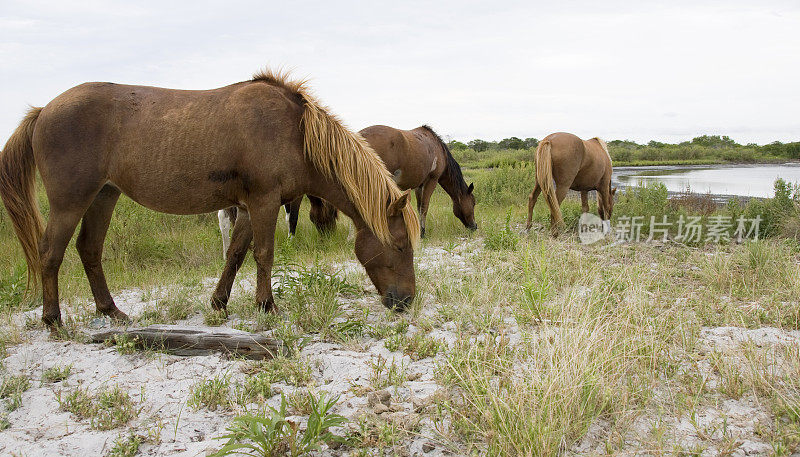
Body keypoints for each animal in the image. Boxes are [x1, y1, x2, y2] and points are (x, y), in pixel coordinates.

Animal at [0, 68, 422, 328]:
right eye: (401, 246)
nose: (405, 301)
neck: (295, 132)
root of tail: (44, 110)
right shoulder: (265, 201)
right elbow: (264, 254)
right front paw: (267, 306)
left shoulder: (251, 206)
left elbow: (235, 253)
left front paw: (219, 303)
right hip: (70, 202)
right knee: (50, 252)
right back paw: (53, 320)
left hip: (104, 195)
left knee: (89, 249)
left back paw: (112, 312)